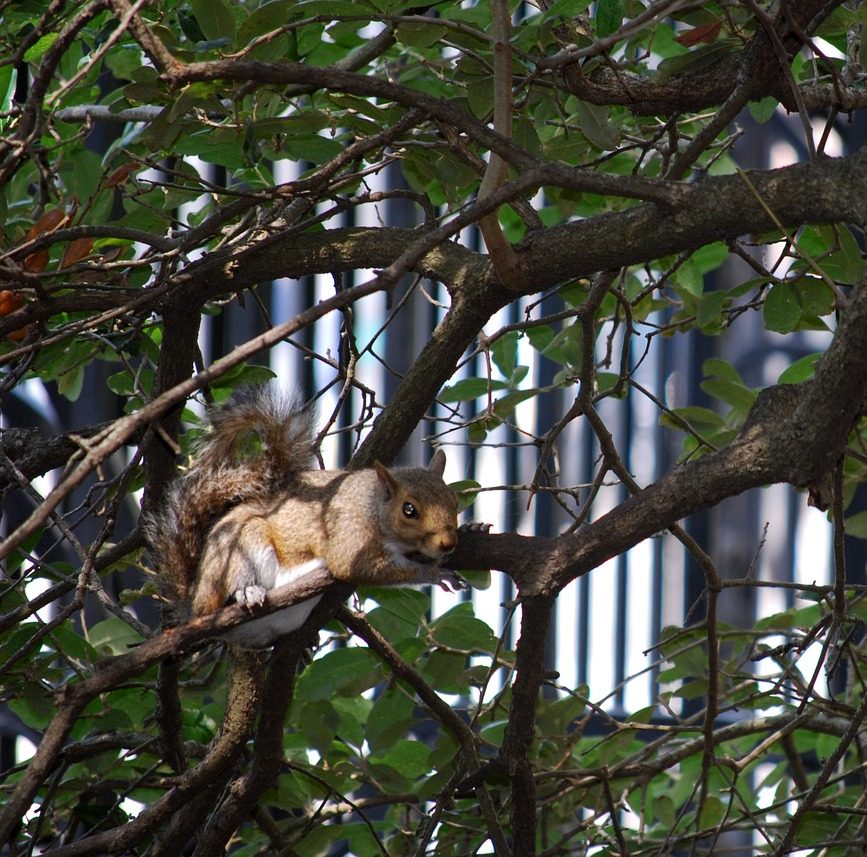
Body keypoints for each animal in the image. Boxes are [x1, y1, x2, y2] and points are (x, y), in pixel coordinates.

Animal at [146, 384, 468, 644]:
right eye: (409, 510)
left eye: (454, 500)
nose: (448, 544)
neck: (373, 506)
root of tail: (193, 603)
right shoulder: (350, 537)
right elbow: (358, 568)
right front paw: (433, 573)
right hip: (239, 547)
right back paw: (247, 592)